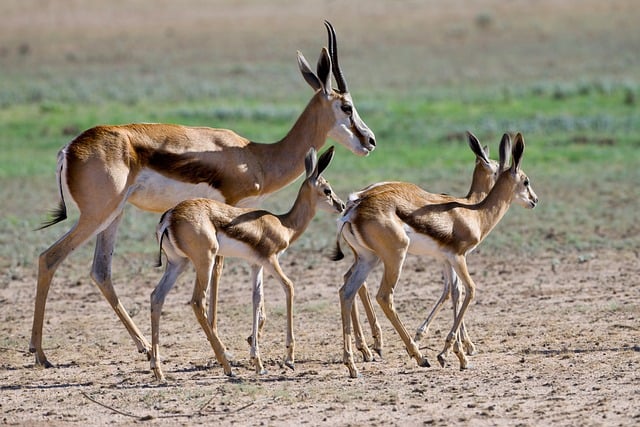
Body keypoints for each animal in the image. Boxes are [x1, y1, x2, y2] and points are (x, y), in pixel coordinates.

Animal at [152, 148, 342, 382]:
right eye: (327, 190)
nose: (342, 206)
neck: (284, 225)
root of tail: (170, 216)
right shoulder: (271, 260)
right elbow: (289, 287)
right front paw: (288, 359)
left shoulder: (255, 264)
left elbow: (256, 300)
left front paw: (258, 363)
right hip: (205, 261)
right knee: (197, 301)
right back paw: (227, 365)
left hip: (178, 263)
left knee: (157, 297)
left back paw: (158, 371)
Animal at [332, 134, 536, 378]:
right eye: (526, 181)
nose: (534, 200)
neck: (473, 212)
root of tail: (353, 208)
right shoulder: (459, 257)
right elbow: (469, 290)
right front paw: (453, 353)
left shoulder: (446, 259)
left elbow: (453, 292)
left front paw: (457, 353)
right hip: (394, 257)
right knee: (383, 296)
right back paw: (418, 356)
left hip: (368, 259)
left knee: (347, 290)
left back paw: (354, 363)